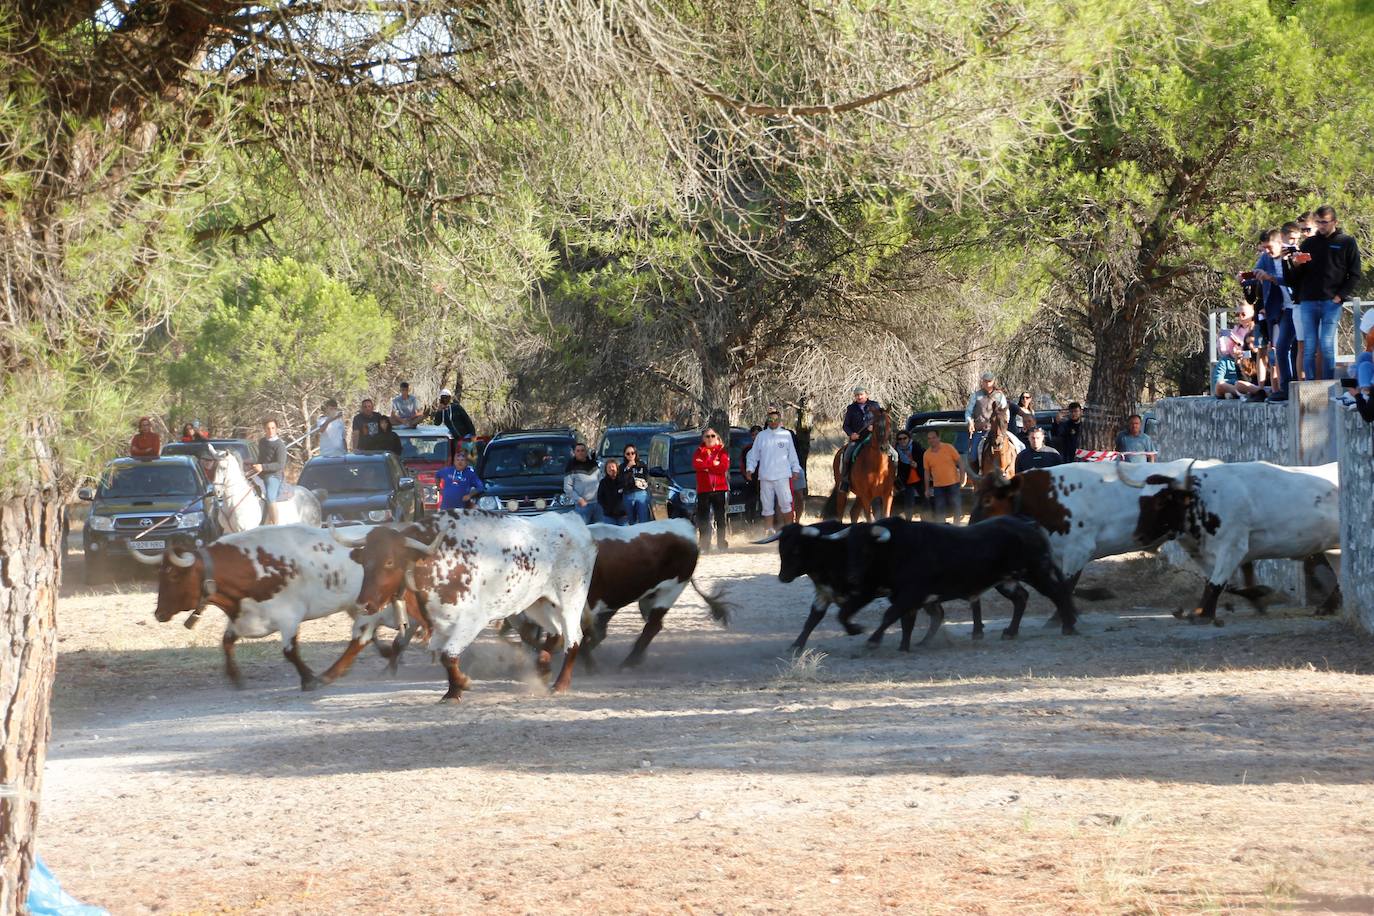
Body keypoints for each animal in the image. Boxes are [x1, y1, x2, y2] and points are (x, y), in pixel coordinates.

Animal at [129, 521, 381, 686]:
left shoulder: (289, 618)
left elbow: (290, 651)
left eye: (173, 575)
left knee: (360, 637)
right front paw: (234, 675)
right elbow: (226, 642)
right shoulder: (242, 618)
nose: (159, 613)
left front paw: (308, 678)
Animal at [579, 521, 730, 667]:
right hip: (631, 597)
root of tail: (685, 526)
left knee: (652, 627)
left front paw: (590, 666)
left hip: (669, 592)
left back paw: (628, 663)